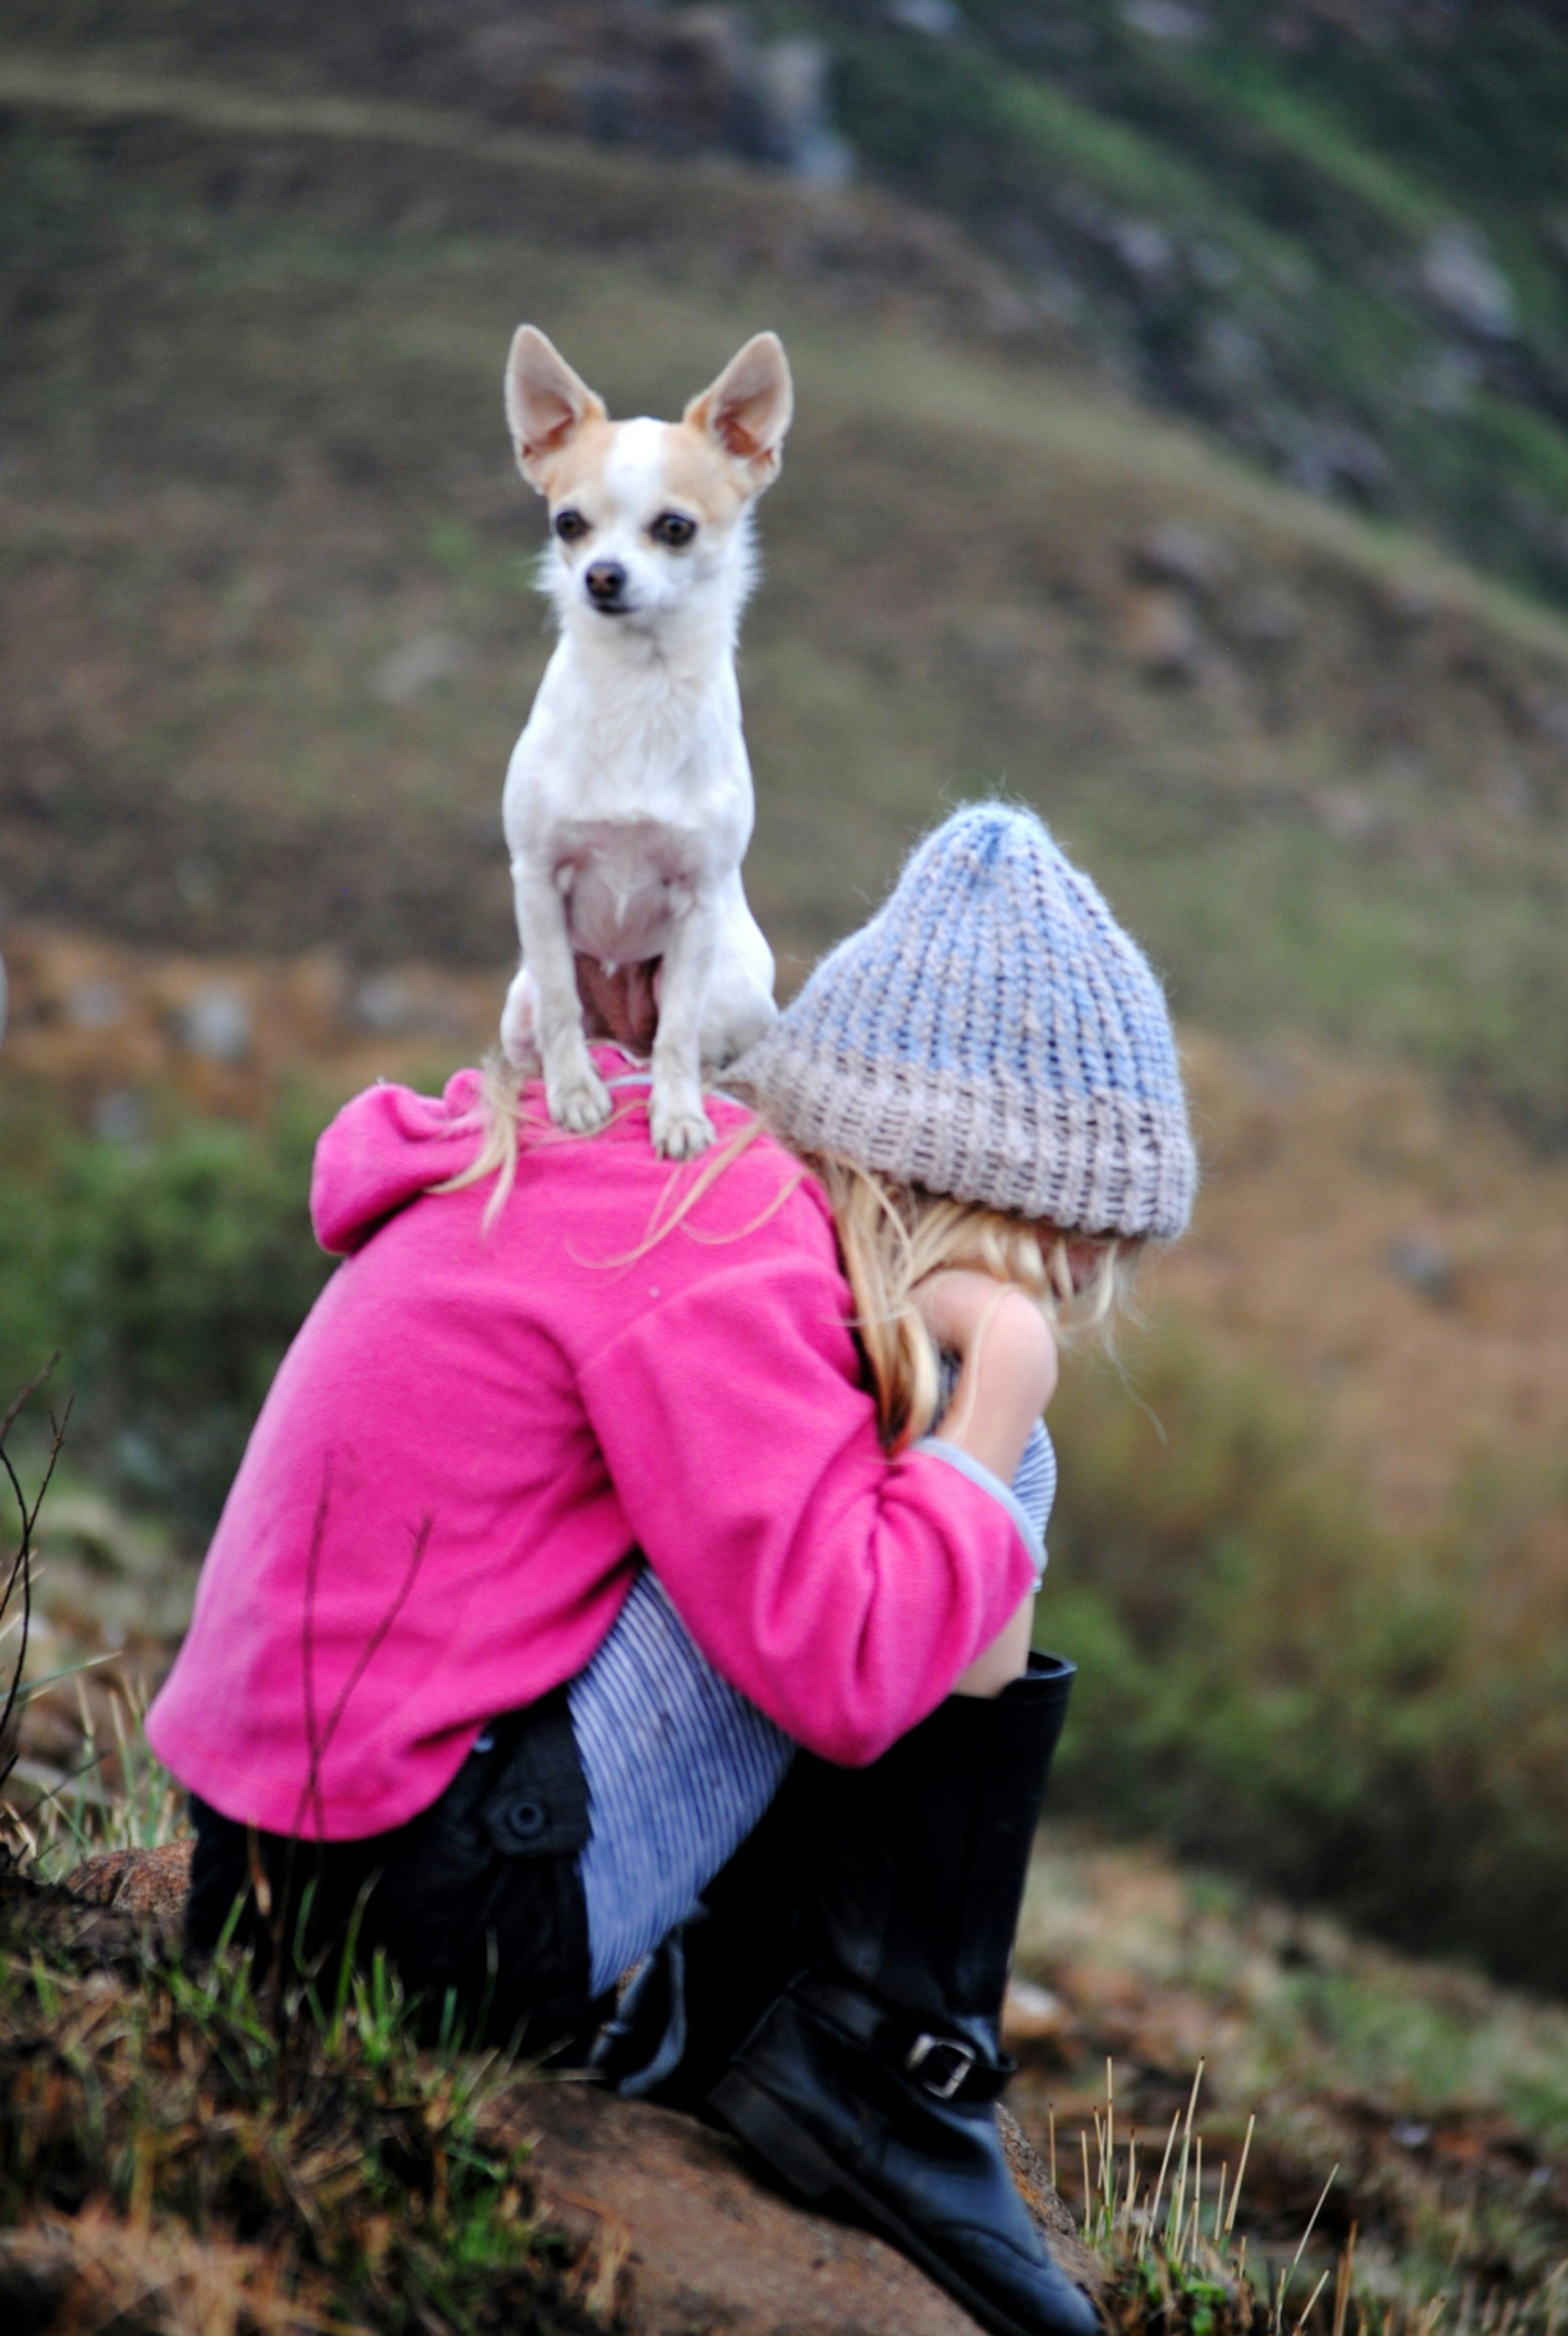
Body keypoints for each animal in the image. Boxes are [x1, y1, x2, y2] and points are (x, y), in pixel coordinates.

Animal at [502, 324, 790, 1163]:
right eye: (568, 523)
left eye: (675, 529)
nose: (601, 576)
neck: (639, 689)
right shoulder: (536, 878)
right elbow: (563, 1007)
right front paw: (573, 1096)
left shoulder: (697, 903)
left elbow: (679, 1037)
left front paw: (679, 1116)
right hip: (517, 1002)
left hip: (733, 990)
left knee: (682, 1043)